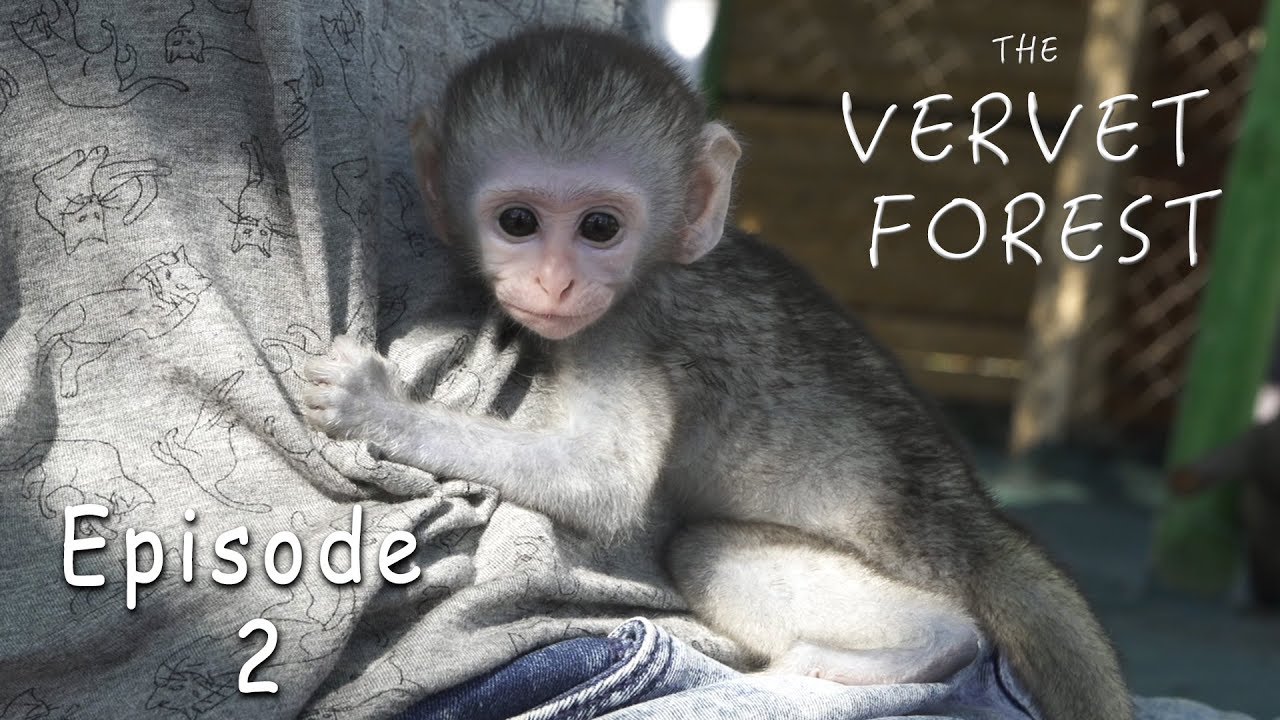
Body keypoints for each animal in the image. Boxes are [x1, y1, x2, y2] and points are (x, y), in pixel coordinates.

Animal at [301, 26, 1133, 720]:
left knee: (707, 549)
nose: (555, 284)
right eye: (518, 223)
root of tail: (976, 525)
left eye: (600, 227)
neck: (662, 261)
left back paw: (925, 645)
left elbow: (601, 483)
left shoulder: (628, 330)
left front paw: (379, 406)